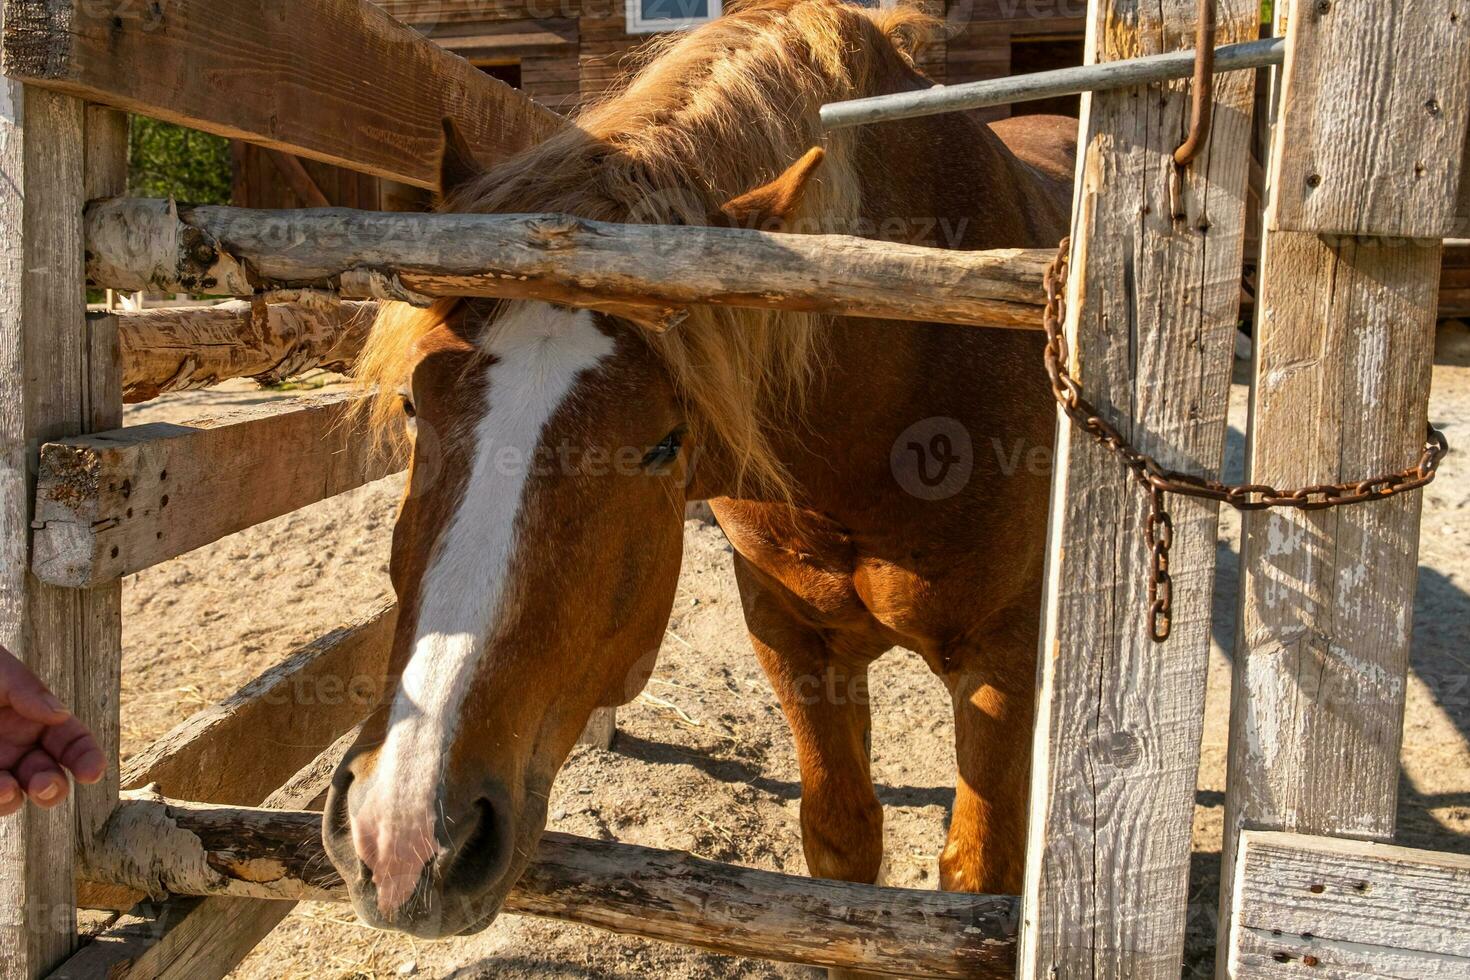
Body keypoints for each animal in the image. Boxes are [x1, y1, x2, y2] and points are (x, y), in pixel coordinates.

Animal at [327, 0, 1076, 940]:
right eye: (414, 404)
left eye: (663, 443)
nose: (402, 836)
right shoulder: (791, 638)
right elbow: (842, 846)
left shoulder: (1001, 661)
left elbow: (979, 876)